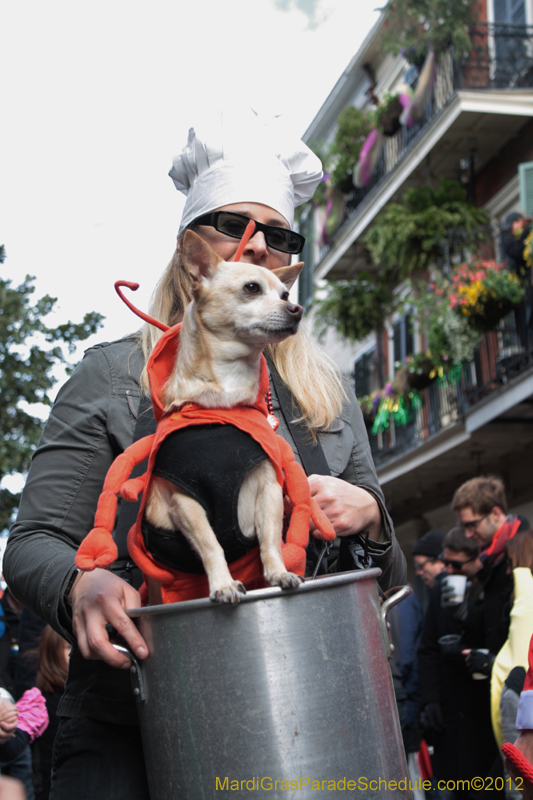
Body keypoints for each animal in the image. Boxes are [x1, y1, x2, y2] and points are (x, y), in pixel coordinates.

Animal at [141, 228, 306, 604]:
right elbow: (211, 544)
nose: (297, 308)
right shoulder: (185, 501)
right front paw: (223, 584)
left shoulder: (269, 488)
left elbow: (270, 539)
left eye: (285, 294)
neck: (223, 403)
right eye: (252, 288)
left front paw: (277, 572)